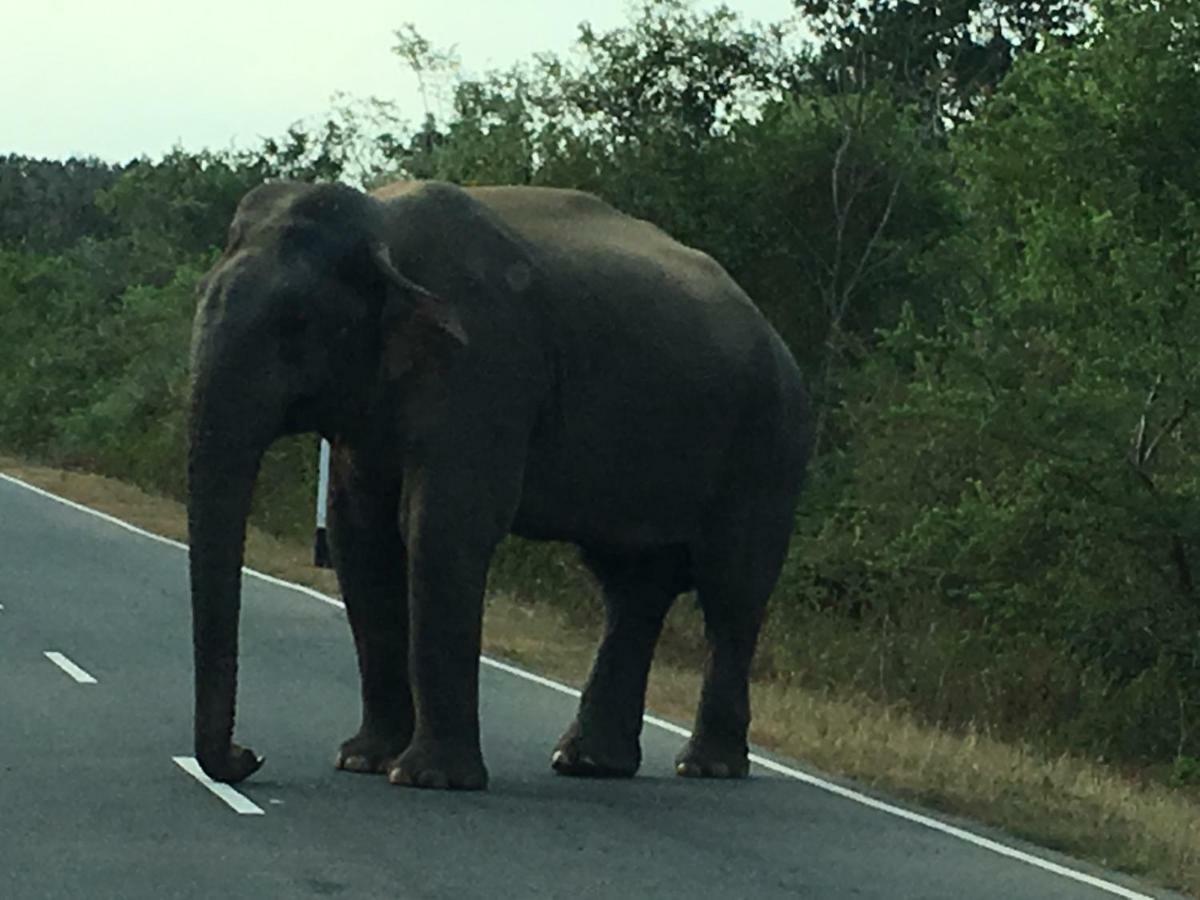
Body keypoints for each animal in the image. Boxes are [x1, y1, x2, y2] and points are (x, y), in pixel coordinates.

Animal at [187, 181, 811, 787]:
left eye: (295, 324)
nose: (250, 756)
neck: (383, 226)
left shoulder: (487, 367)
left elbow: (442, 526)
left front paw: (427, 779)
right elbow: (359, 537)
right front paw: (363, 761)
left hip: (768, 445)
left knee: (732, 592)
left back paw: (706, 767)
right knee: (633, 587)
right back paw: (589, 763)